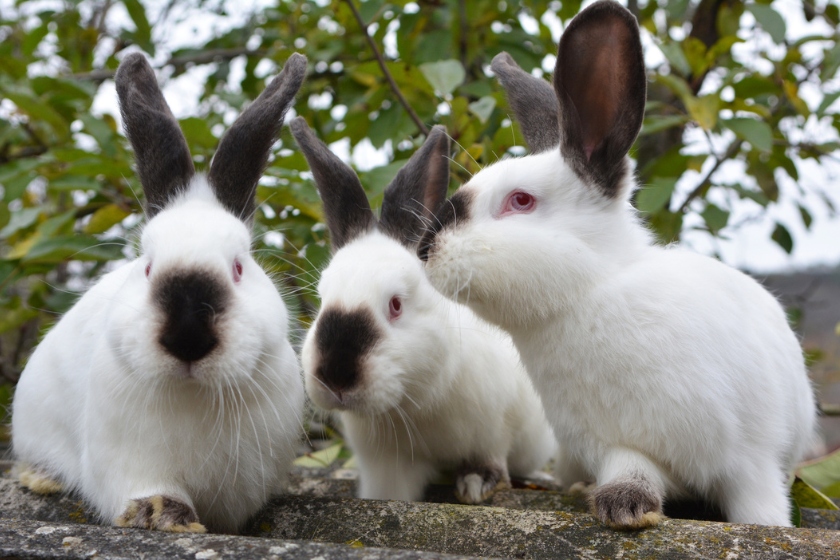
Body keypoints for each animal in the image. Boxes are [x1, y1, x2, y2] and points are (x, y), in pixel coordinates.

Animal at [10, 52, 308, 532]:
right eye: (147, 265)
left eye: (239, 267)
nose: (188, 337)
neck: (194, 395)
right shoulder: (130, 464)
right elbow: (152, 491)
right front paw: (165, 517)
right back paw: (42, 479)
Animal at [288, 118, 556, 504]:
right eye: (322, 297)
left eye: (396, 304)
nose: (336, 376)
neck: (413, 401)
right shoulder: (385, 463)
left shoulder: (492, 429)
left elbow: (488, 457)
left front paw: (477, 485)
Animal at [420, 0, 812, 528]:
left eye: (520, 201)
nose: (425, 250)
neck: (588, 296)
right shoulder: (617, 443)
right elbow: (632, 470)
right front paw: (624, 506)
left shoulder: (751, 461)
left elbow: (761, 510)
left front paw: (767, 527)